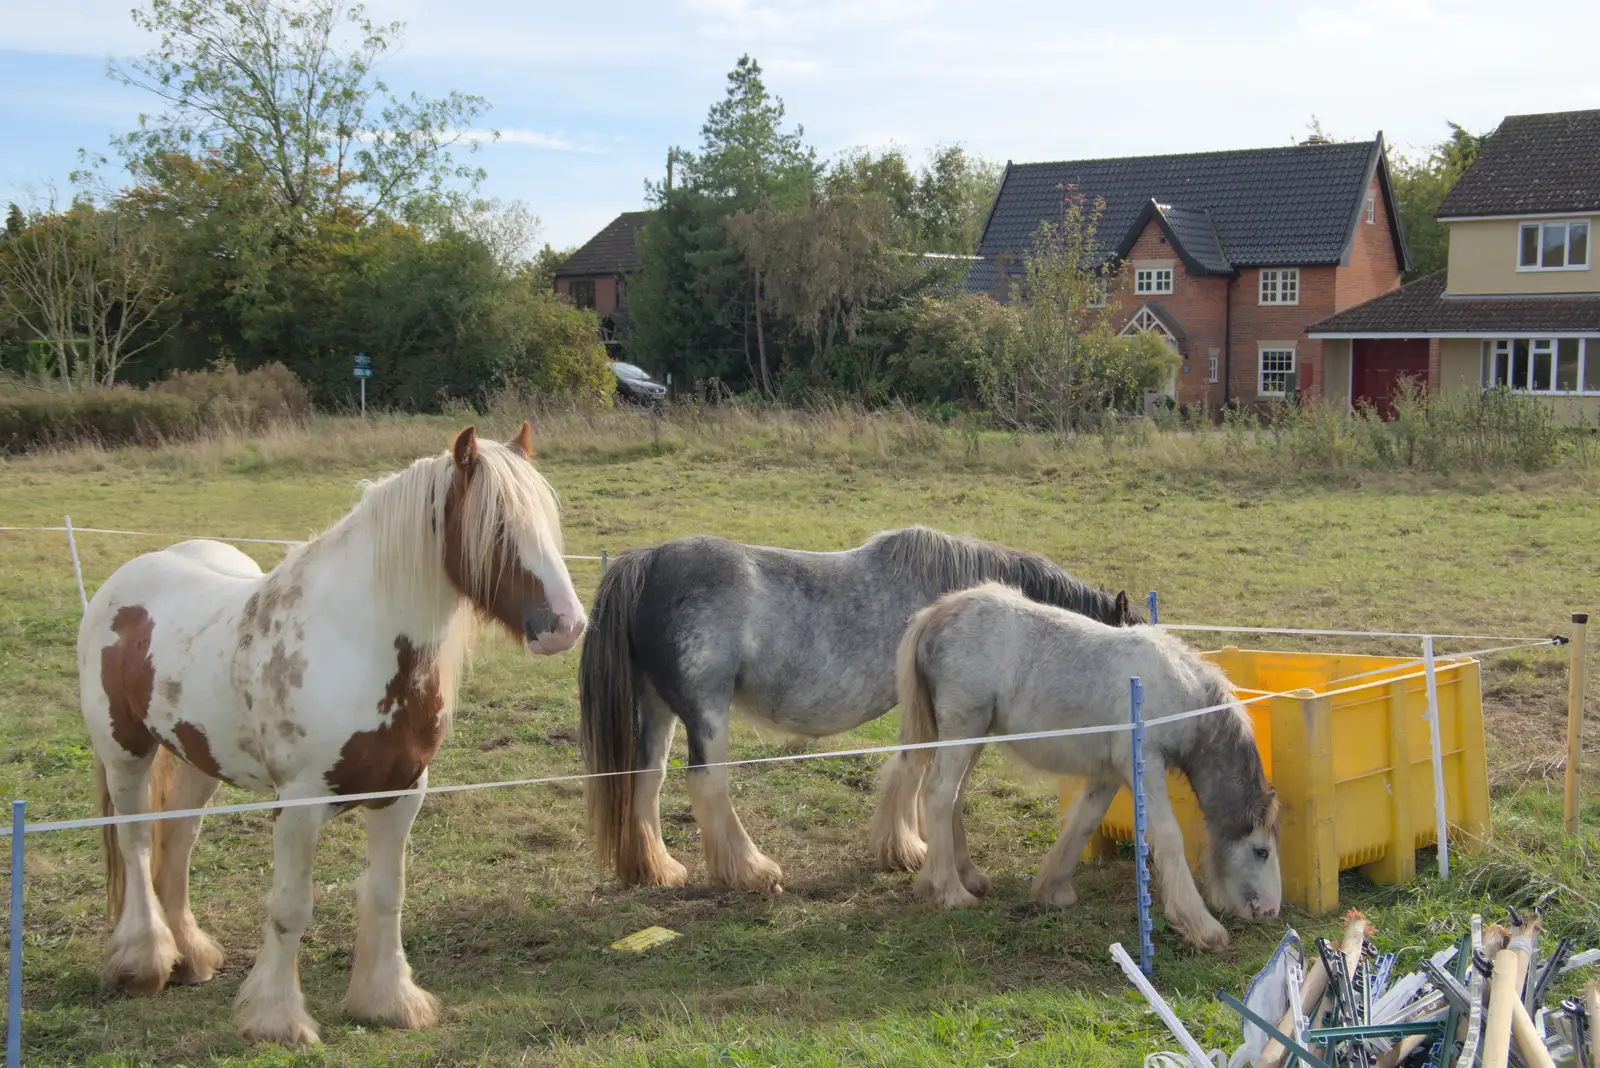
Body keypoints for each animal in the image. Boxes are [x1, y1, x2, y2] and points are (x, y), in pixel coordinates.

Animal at [76, 422, 588, 1042]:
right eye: (497, 525)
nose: (567, 625)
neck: (355, 641)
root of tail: (124, 581)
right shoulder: (298, 804)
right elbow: (291, 907)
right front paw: (277, 1020)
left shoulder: (401, 793)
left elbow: (387, 895)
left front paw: (389, 1002)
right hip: (125, 751)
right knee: (133, 841)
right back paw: (145, 962)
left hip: (199, 757)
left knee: (178, 840)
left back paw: (191, 957)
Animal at [576, 524, 1139, 895]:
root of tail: (648, 561)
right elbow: (916, 775)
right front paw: (912, 852)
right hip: (707, 711)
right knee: (707, 782)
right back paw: (751, 871)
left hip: (659, 710)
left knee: (647, 778)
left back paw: (656, 870)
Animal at [883, 578, 1280, 952]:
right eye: (1261, 851)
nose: (1271, 911)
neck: (1180, 692)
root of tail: (935, 614)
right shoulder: (1146, 765)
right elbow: (1168, 836)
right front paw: (1202, 926)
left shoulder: (1109, 774)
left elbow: (1084, 822)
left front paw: (1053, 890)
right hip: (963, 730)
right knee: (939, 794)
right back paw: (950, 891)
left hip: (972, 738)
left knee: (954, 797)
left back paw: (966, 876)